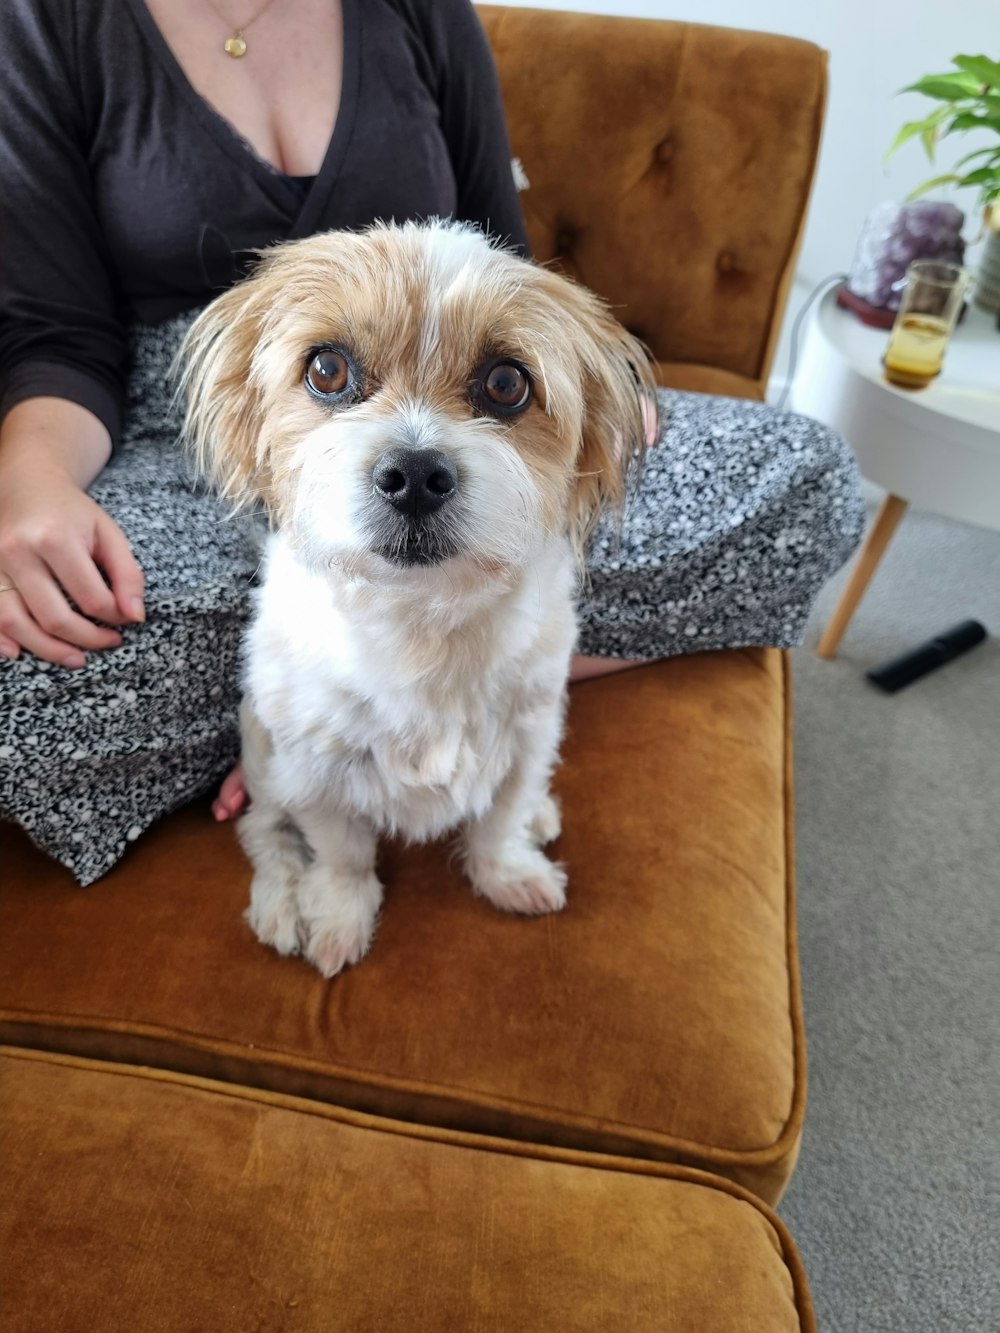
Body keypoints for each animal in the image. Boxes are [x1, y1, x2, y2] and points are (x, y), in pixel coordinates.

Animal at [182, 221, 658, 981]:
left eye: (506, 383)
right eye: (327, 370)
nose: (413, 474)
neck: (422, 618)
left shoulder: (528, 733)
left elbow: (500, 816)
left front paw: (506, 872)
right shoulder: (313, 767)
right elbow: (341, 853)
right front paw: (338, 918)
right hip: (261, 753)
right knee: (265, 829)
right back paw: (283, 899)